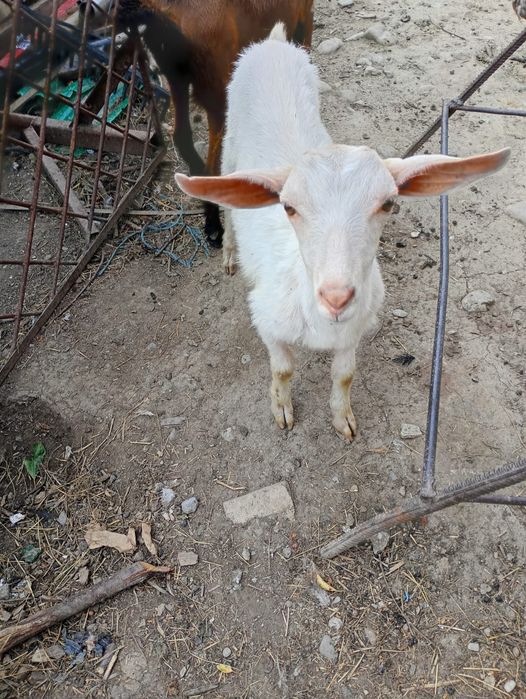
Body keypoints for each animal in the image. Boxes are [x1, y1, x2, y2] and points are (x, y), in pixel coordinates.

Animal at [77, 0, 314, 247]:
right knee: (212, 164)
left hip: (179, 76)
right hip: (215, 88)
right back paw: (213, 224)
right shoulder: (304, 17)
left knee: (181, 136)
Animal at [175, 24, 510, 442]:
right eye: (288, 207)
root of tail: (272, 42)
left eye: (388, 204)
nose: (337, 298)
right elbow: (282, 368)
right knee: (227, 199)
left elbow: (345, 375)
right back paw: (230, 254)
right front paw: (282, 409)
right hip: (231, 139)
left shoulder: (355, 329)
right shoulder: (267, 320)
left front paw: (342, 418)